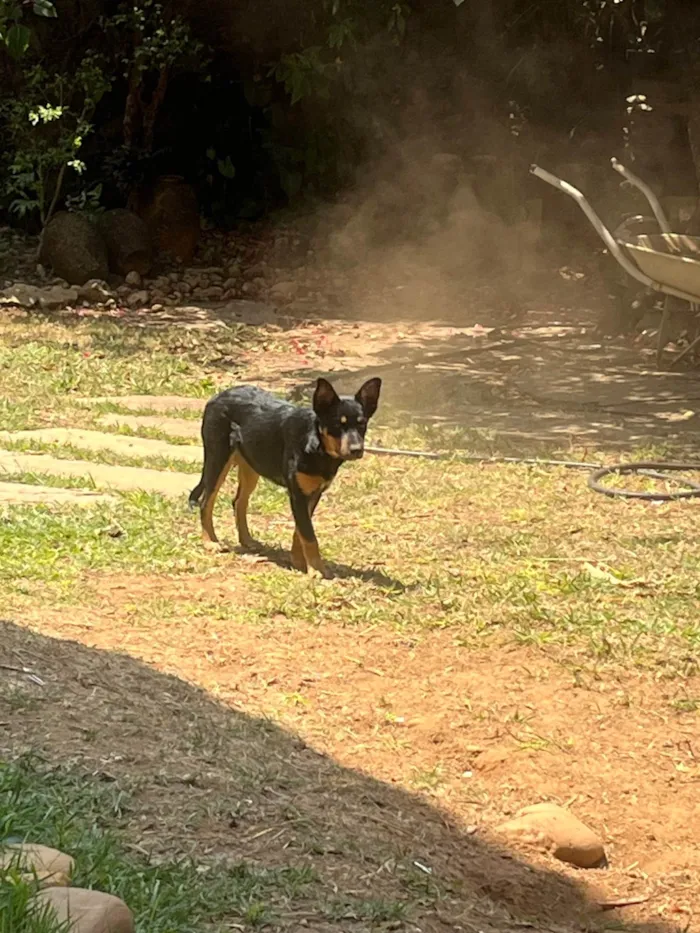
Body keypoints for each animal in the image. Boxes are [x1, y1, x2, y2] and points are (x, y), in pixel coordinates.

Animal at [189, 376, 380, 576]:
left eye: (362, 424)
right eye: (337, 424)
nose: (357, 450)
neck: (316, 444)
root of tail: (216, 397)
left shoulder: (312, 494)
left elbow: (300, 531)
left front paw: (298, 562)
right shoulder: (297, 494)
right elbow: (309, 535)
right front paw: (317, 571)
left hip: (251, 465)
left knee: (239, 502)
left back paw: (247, 540)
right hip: (218, 458)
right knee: (206, 502)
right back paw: (210, 542)